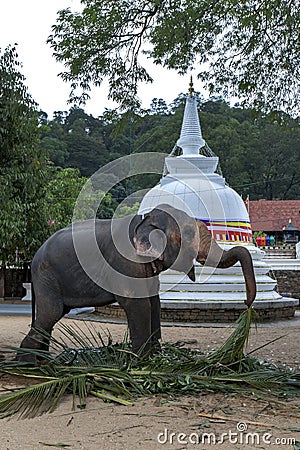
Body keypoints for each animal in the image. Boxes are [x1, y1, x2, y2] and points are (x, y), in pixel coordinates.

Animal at [18, 205, 254, 362]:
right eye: (188, 234)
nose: (247, 303)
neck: (146, 218)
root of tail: (35, 256)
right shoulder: (126, 263)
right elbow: (138, 304)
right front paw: (141, 362)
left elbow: (154, 302)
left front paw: (155, 356)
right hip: (47, 277)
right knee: (51, 313)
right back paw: (29, 365)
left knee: (51, 316)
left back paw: (43, 361)